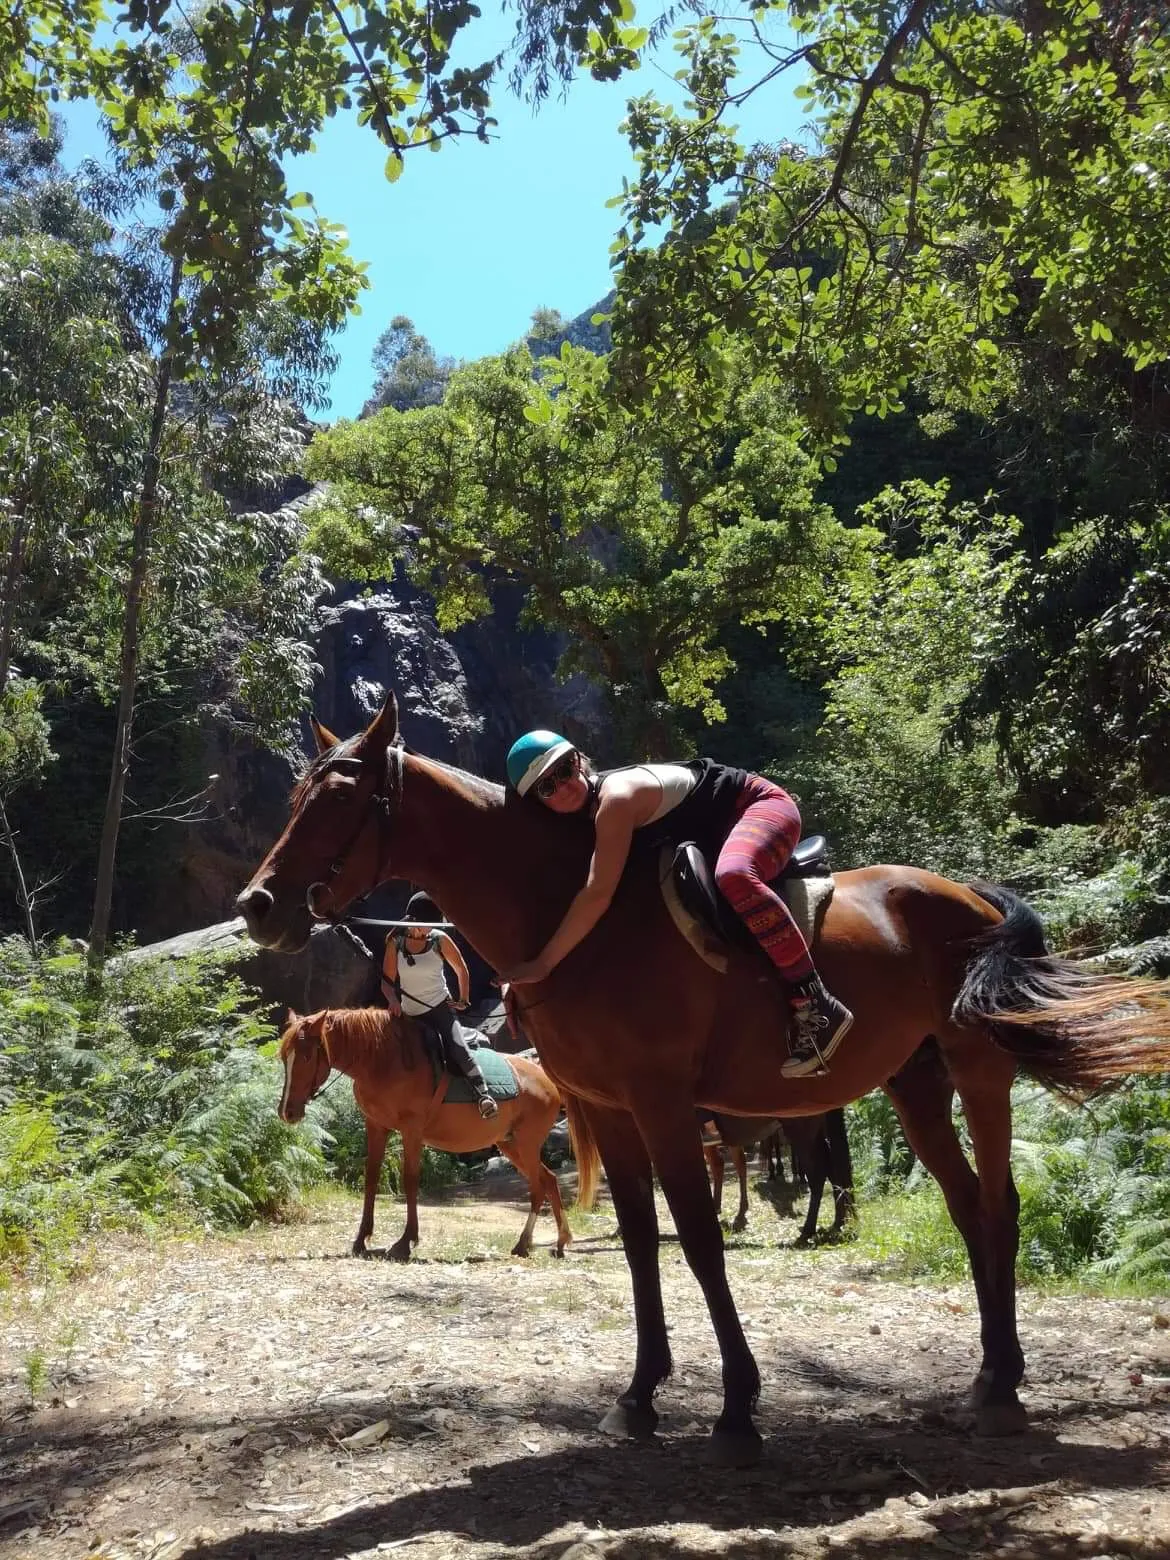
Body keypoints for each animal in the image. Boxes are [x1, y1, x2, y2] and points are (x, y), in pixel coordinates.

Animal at [277, 1006, 583, 1260]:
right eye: (283, 1057)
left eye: (306, 1056)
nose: (287, 1112)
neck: (382, 1060)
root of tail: (547, 1080)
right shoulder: (376, 1126)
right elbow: (371, 1177)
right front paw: (361, 1240)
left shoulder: (411, 1130)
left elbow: (410, 1180)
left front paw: (405, 1242)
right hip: (510, 1144)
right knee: (549, 1180)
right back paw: (556, 1242)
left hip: (526, 1144)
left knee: (538, 1186)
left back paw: (525, 1243)